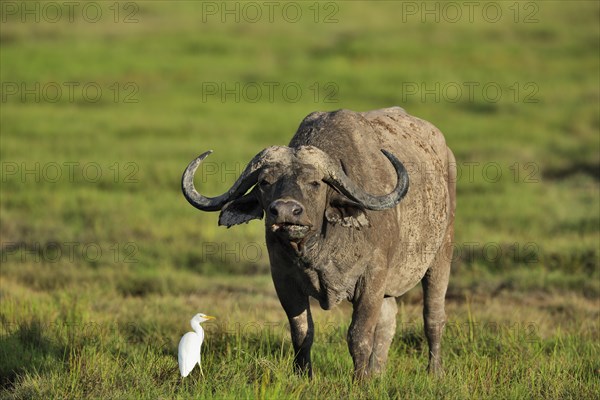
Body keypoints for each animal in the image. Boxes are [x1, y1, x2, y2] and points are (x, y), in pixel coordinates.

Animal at [183, 107, 454, 382]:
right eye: (265, 182)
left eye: (314, 183)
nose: (285, 211)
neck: (320, 251)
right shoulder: (284, 281)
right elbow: (302, 332)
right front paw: (305, 375)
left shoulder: (372, 279)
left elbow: (359, 334)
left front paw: (360, 380)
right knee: (388, 322)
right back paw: (378, 372)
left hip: (441, 256)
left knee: (433, 316)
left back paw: (434, 371)